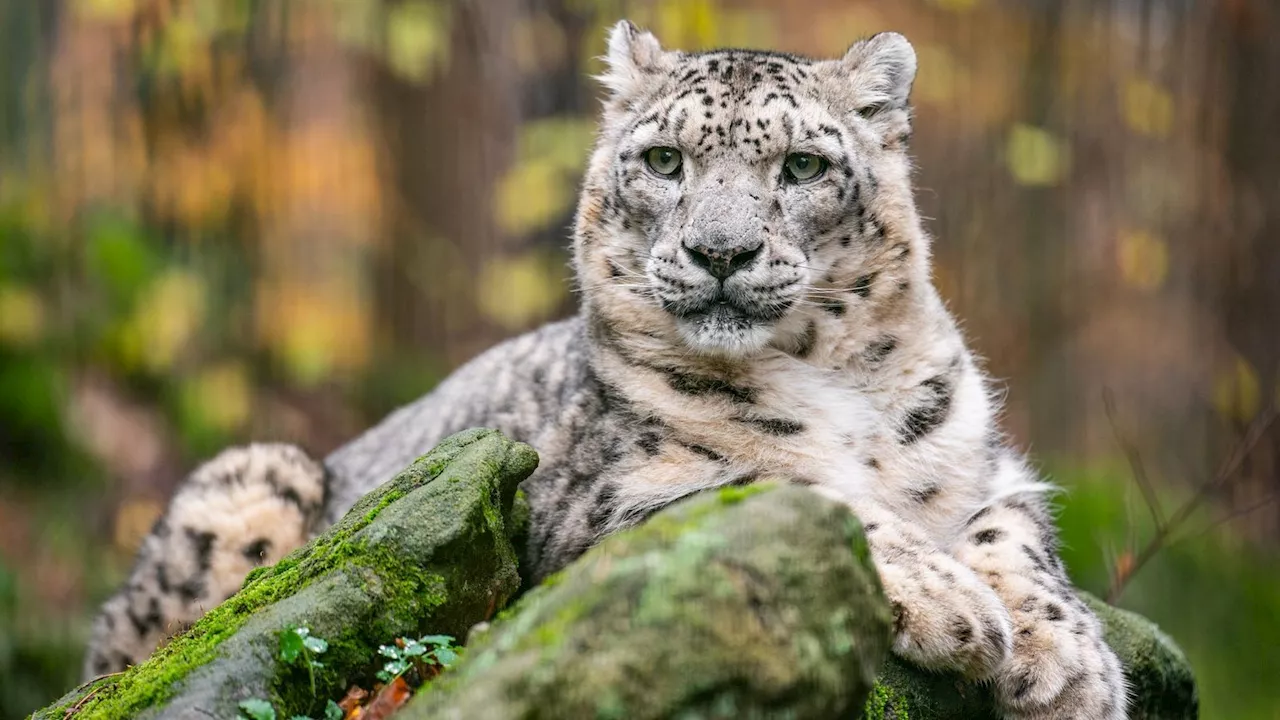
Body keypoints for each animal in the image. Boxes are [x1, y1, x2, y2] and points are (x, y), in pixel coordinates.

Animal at [80, 20, 1126, 717]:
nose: (719, 252)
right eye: (663, 159)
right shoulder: (608, 501)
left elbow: (1016, 540)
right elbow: (780, 489)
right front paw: (958, 609)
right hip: (251, 482)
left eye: (801, 167)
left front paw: (1069, 666)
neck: (832, 386)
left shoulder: (986, 465)